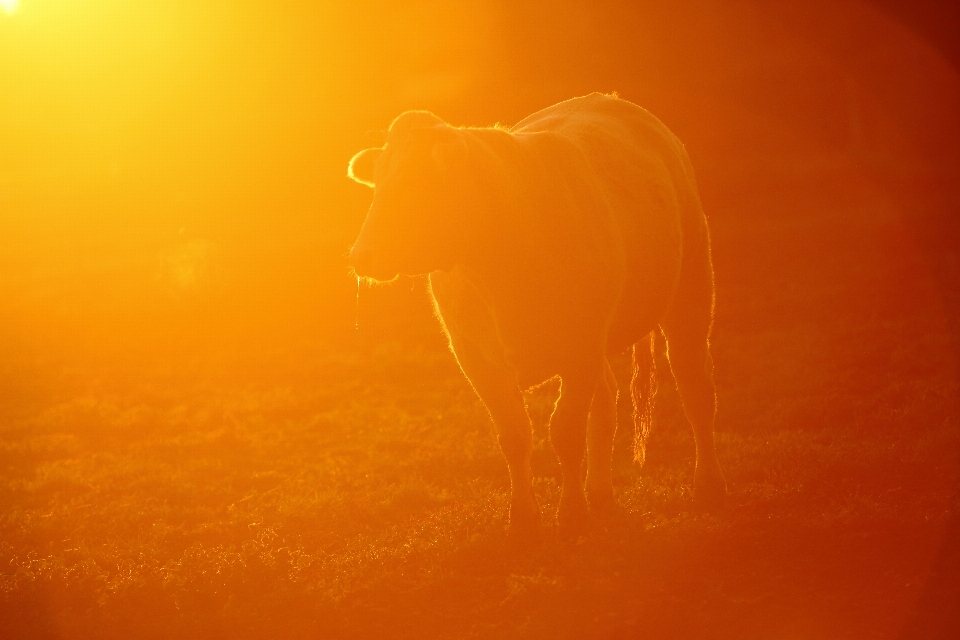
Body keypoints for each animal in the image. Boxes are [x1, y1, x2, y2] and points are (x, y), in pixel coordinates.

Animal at [348, 92, 724, 544]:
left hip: (691, 287)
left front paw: (572, 513)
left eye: (415, 183)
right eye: (378, 184)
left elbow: (564, 432)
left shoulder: (579, 347)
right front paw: (525, 517)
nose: (361, 255)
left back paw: (707, 487)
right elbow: (515, 434)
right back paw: (602, 496)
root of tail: (610, 100)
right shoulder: (476, 356)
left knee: (695, 389)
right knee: (606, 407)